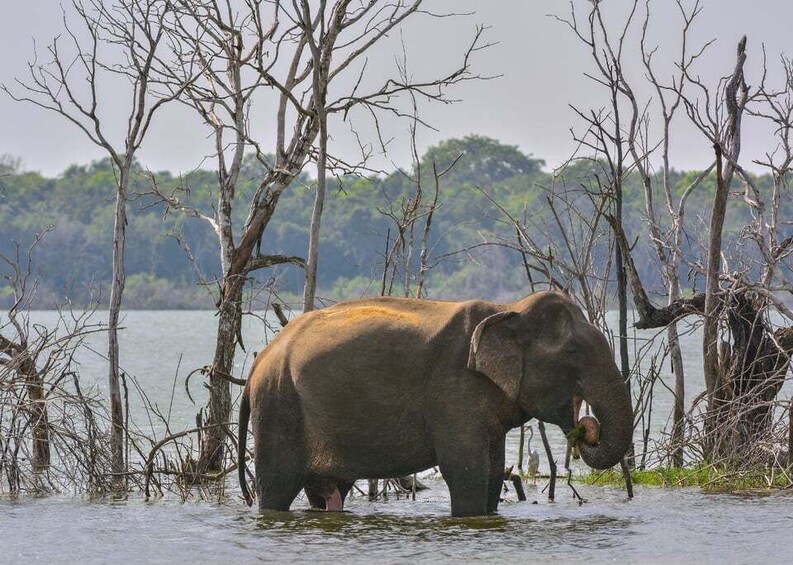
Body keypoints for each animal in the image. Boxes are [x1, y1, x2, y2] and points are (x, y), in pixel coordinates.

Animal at [237, 290, 632, 517]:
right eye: (573, 352)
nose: (586, 429)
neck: (507, 309)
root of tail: (258, 362)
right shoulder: (453, 393)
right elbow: (466, 470)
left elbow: (493, 471)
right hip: (279, 406)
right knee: (277, 485)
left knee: (327, 488)